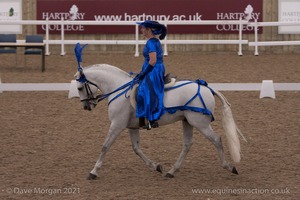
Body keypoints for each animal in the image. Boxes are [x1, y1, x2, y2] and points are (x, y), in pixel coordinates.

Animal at [75, 63, 246, 179]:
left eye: (79, 88)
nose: (86, 106)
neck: (119, 89)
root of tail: (205, 87)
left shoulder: (117, 125)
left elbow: (105, 146)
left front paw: (93, 172)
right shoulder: (132, 127)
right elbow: (136, 149)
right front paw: (156, 166)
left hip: (200, 123)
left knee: (216, 140)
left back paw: (229, 167)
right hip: (187, 122)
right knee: (187, 144)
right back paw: (171, 171)